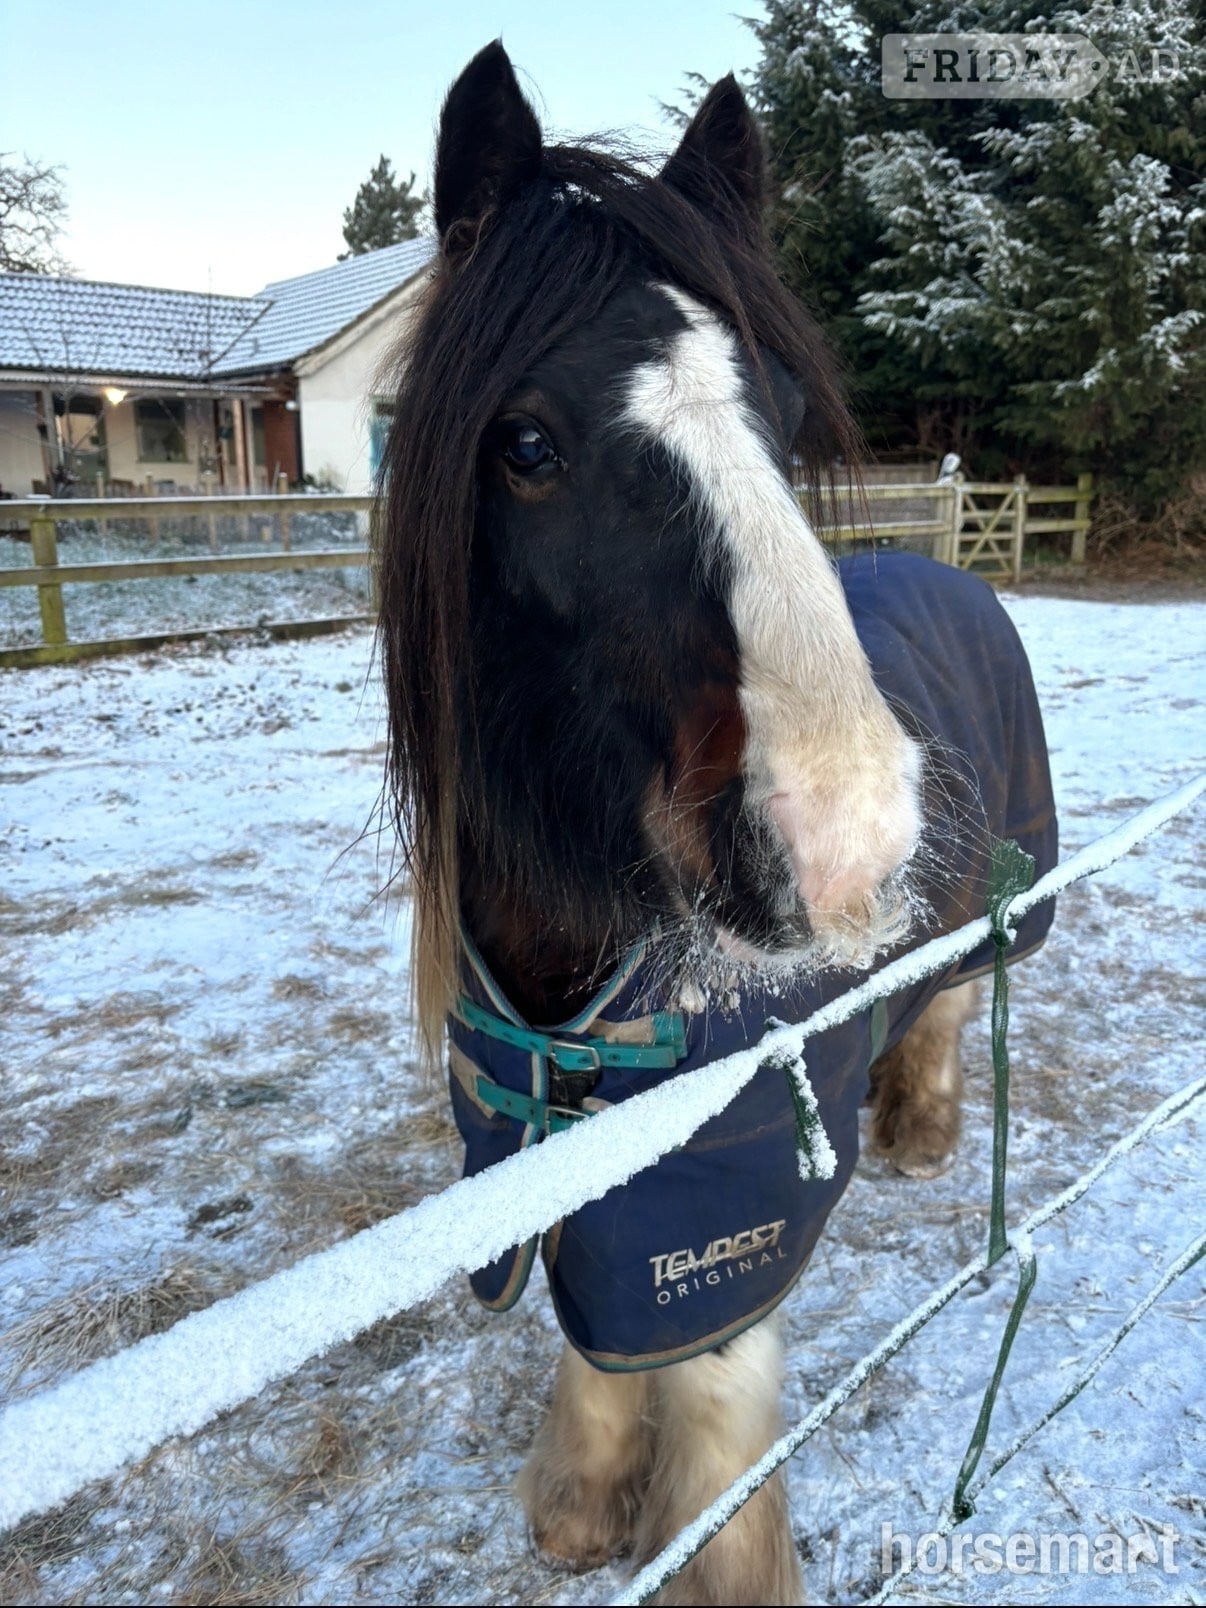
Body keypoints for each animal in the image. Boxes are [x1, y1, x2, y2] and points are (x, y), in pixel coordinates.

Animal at [376, 42, 1057, 1606]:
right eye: (525, 443)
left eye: (789, 420)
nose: (848, 828)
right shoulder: (544, 1151)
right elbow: (599, 1333)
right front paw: (579, 1502)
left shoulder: (731, 1181)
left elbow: (712, 1401)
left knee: (951, 993)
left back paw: (923, 1127)